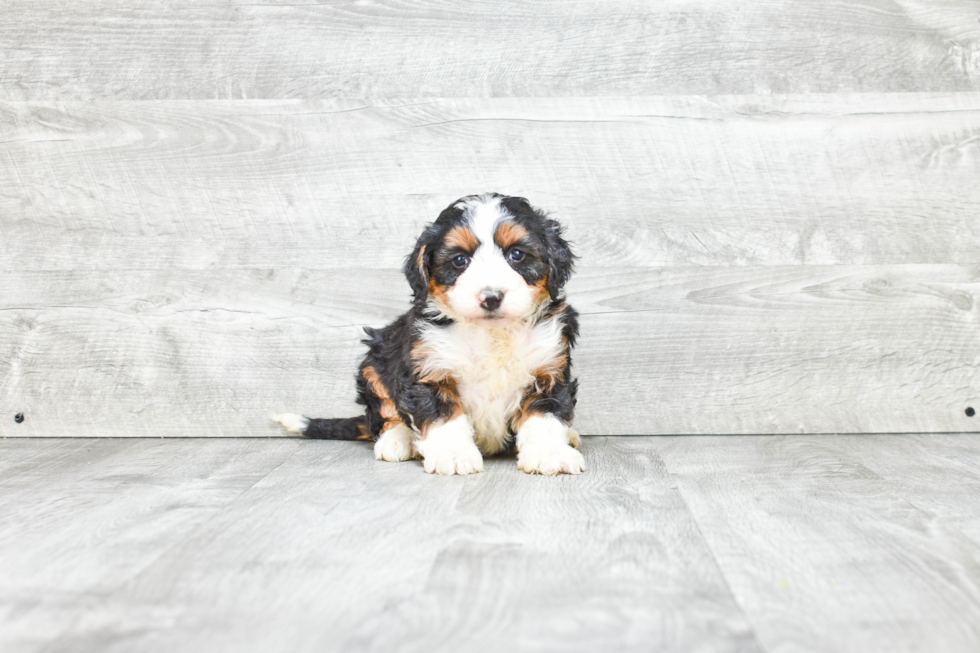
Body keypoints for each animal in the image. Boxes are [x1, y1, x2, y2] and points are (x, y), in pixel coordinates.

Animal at [272, 191, 584, 476]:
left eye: (516, 254)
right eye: (459, 260)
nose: (491, 297)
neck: (491, 334)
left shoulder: (548, 370)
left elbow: (545, 416)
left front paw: (550, 454)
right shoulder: (428, 371)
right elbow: (444, 417)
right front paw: (454, 455)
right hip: (375, 363)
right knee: (385, 415)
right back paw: (398, 441)